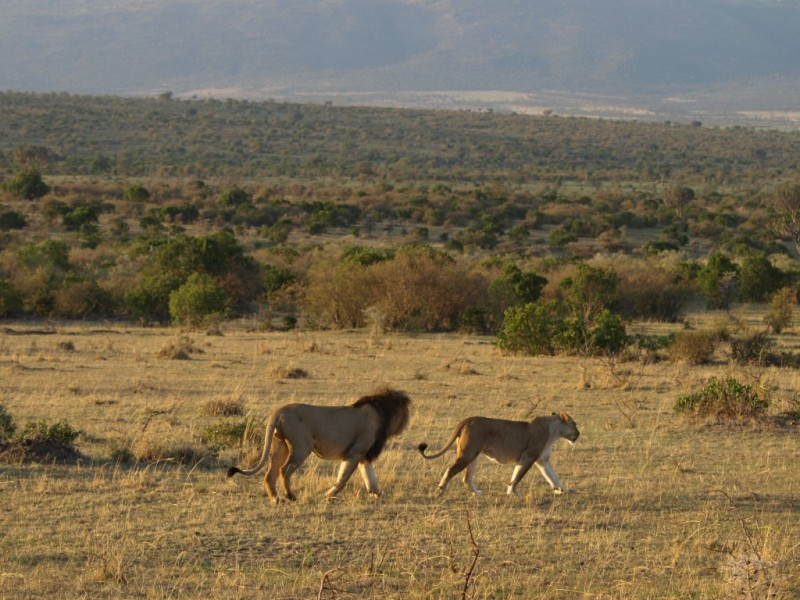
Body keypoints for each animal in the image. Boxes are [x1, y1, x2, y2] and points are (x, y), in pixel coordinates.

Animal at [227, 386, 410, 500]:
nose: (406, 421)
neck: (381, 411)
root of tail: (279, 412)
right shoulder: (356, 452)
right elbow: (343, 478)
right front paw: (328, 495)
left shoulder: (363, 455)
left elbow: (370, 478)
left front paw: (378, 494)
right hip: (302, 447)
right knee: (283, 470)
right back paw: (291, 496)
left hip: (280, 445)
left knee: (270, 473)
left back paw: (275, 499)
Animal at [416, 412, 580, 496]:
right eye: (575, 424)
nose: (579, 434)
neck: (554, 433)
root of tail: (467, 419)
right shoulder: (528, 457)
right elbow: (518, 476)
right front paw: (512, 492)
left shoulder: (542, 460)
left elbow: (553, 476)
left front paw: (562, 489)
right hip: (468, 454)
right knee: (450, 470)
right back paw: (440, 491)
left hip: (472, 455)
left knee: (466, 478)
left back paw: (476, 493)